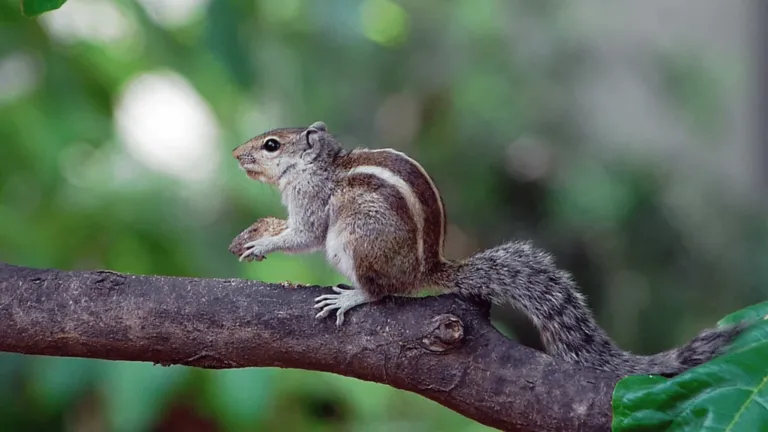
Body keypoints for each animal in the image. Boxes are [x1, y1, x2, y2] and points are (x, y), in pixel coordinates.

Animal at [230, 121, 746, 377]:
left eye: (271, 145)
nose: (235, 154)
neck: (319, 165)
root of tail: (425, 271)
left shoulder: (313, 202)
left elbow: (305, 234)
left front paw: (264, 243)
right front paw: (256, 232)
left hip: (355, 242)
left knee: (381, 292)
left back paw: (351, 296)